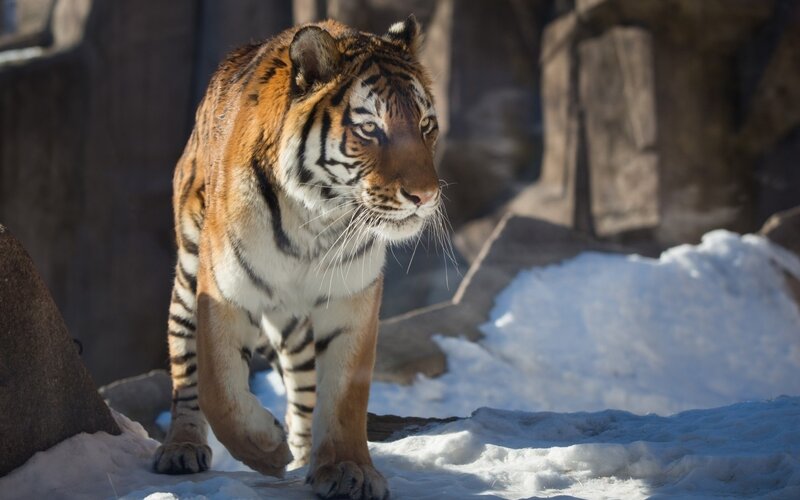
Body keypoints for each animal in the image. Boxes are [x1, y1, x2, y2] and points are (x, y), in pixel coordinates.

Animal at [151, 15, 442, 500]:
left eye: (425, 125)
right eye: (370, 130)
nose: (425, 195)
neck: (316, 222)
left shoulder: (352, 300)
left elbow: (344, 396)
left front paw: (346, 468)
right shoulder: (224, 292)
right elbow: (219, 388)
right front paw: (267, 450)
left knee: (304, 387)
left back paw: (307, 453)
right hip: (189, 273)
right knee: (186, 371)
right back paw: (182, 448)